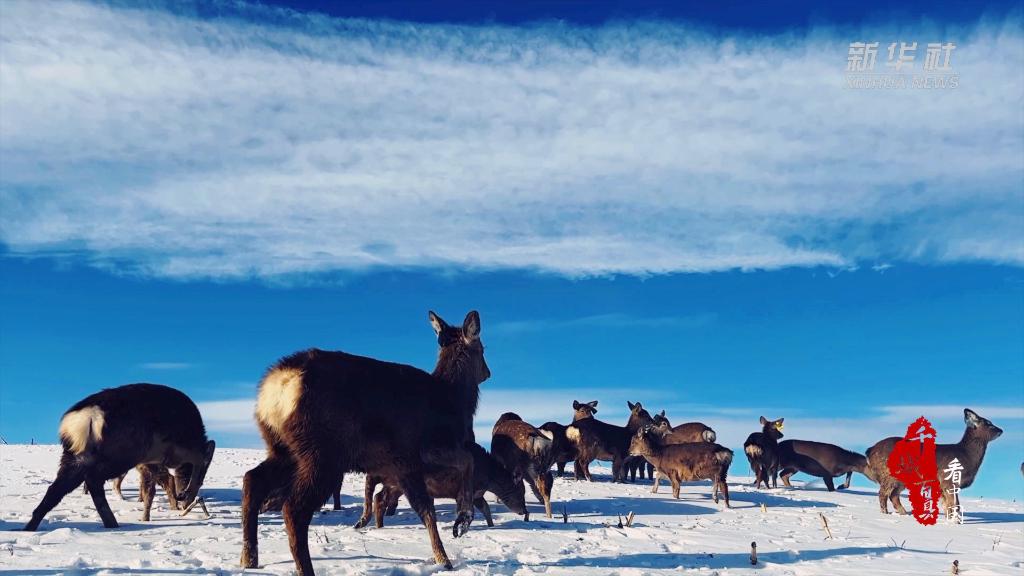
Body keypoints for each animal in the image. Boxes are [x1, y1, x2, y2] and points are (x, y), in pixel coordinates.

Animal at [22, 383, 214, 532]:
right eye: (201, 480)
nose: (184, 500)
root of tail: (89, 416)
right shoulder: (172, 453)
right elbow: (198, 458)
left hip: (76, 456)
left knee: (57, 489)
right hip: (123, 455)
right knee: (93, 479)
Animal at [243, 311, 491, 569]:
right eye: (483, 349)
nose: (487, 372)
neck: (456, 401)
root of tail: (276, 388)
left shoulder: (404, 464)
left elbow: (425, 508)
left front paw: (445, 550)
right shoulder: (425, 449)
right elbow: (460, 470)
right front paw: (458, 530)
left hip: (283, 447)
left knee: (252, 479)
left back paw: (249, 559)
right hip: (323, 452)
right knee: (294, 508)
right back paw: (302, 567)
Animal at [354, 440, 528, 528]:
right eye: (520, 492)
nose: (523, 511)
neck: (488, 477)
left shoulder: (477, 494)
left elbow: (486, 509)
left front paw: (491, 526)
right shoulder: (464, 492)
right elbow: (463, 510)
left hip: (395, 484)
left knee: (379, 497)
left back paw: (378, 525)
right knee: (374, 487)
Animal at [864, 405, 999, 512]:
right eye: (989, 423)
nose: (1000, 430)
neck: (966, 455)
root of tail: (870, 450)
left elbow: (948, 506)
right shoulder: (948, 480)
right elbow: (954, 505)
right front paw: (956, 522)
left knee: (893, 495)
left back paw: (904, 513)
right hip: (889, 473)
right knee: (883, 494)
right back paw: (886, 514)